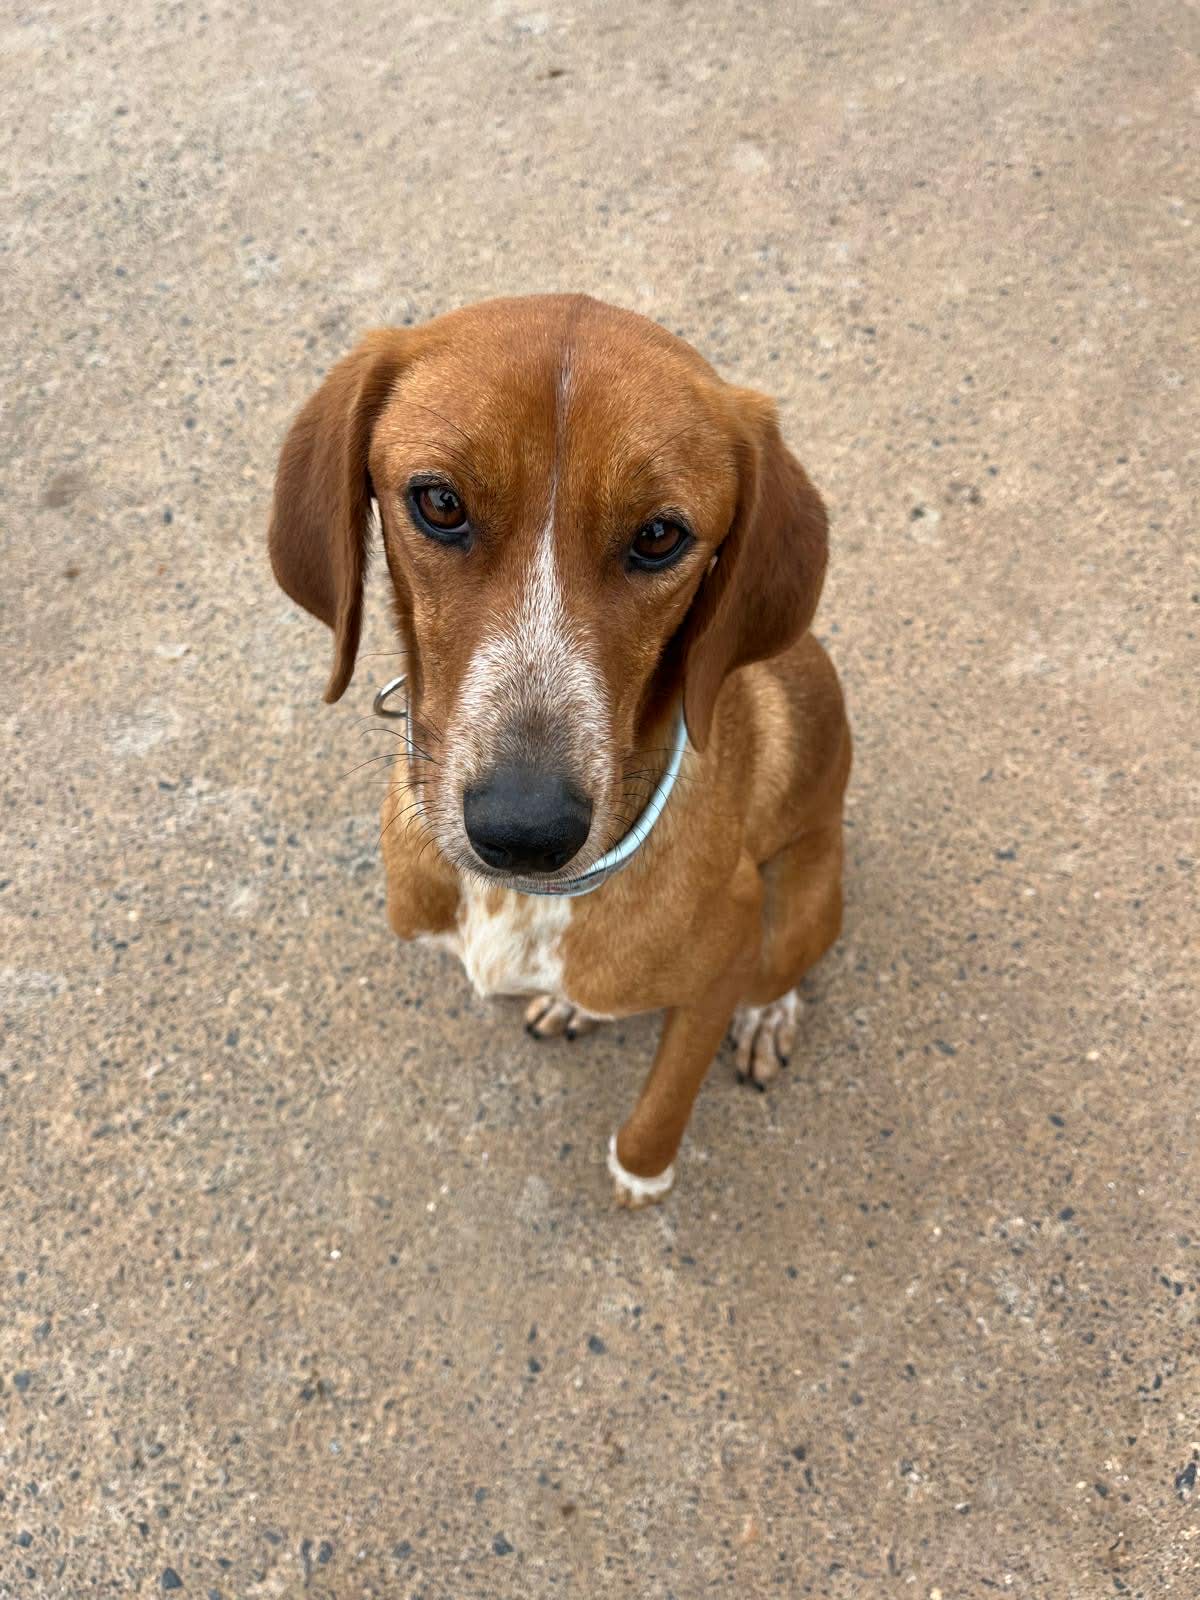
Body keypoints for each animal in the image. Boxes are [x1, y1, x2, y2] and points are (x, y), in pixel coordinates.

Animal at [268, 294, 851, 1207]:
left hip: (807, 885)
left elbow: (668, 1092)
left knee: (786, 966)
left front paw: (641, 1172)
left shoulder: (725, 956)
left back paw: (767, 1016)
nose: (524, 831)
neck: (525, 905)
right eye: (439, 503)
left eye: (660, 535)